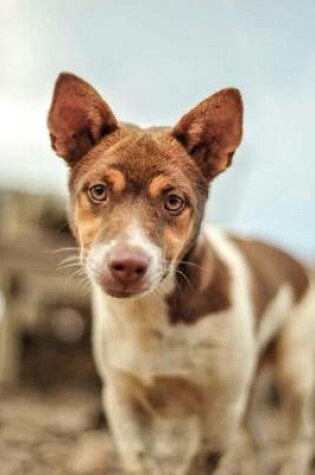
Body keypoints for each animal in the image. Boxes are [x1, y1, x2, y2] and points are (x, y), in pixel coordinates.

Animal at [47, 72, 315, 474]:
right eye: (98, 191)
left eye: (174, 201)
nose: (127, 264)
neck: (151, 313)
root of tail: (294, 258)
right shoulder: (124, 402)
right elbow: (142, 462)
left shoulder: (219, 413)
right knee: (257, 441)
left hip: (295, 374)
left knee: (299, 439)